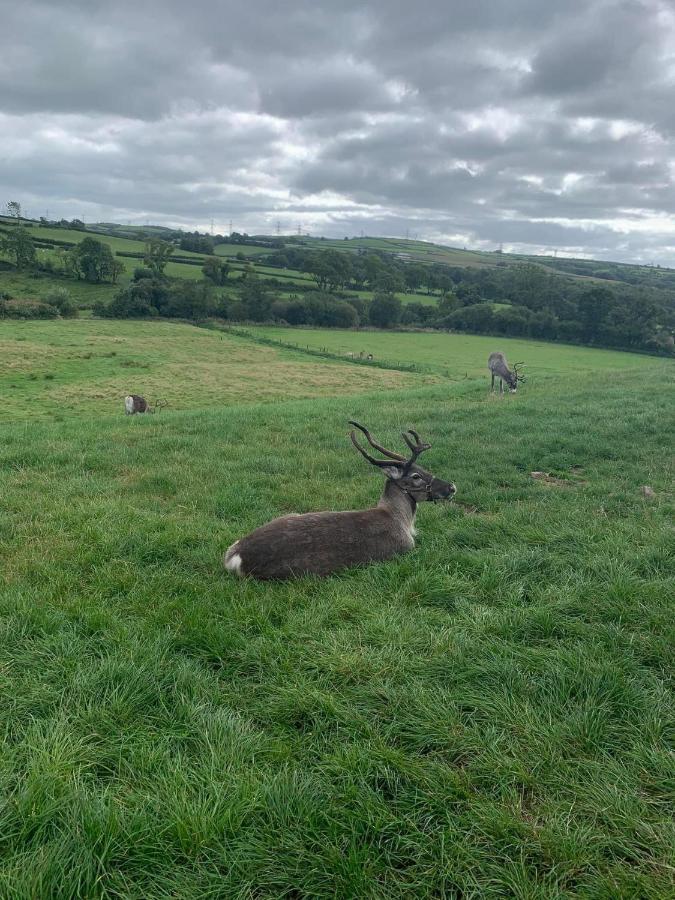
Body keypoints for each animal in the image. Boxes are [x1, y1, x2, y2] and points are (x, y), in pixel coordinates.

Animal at [224, 418, 456, 580]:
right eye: (416, 476)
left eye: (424, 469)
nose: (451, 487)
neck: (403, 521)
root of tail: (233, 557)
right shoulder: (405, 549)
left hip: (288, 514)